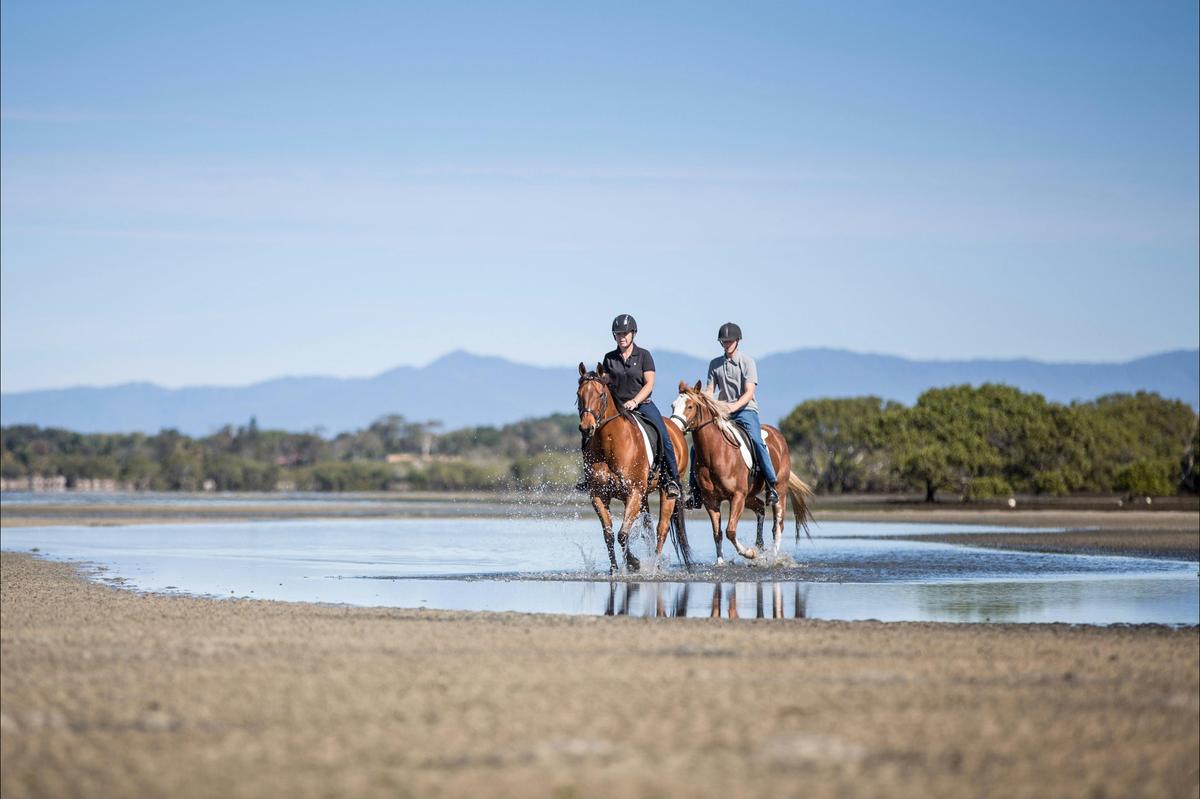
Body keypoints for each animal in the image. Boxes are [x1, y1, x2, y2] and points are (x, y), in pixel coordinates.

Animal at [577, 363, 693, 574]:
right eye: (579, 394)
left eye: (600, 394)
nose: (586, 428)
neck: (609, 444)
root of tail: (676, 429)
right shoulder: (599, 495)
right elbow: (609, 533)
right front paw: (615, 568)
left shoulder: (633, 493)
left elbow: (623, 534)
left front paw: (633, 563)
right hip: (644, 495)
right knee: (648, 530)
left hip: (665, 491)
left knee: (661, 528)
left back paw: (655, 566)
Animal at [669, 381, 813, 564]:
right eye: (673, 405)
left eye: (690, 406)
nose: (675, 427)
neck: (716, 453)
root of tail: (779, 436)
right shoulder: (711, 500)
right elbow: (717, 533)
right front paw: (720, 562)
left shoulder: (737, 496)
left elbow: (730, 530)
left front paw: (748, 553)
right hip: (749, 496)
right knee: (760, 509)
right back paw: (759, 545)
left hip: (779, 491)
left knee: (778, 526)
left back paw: (772, 557)